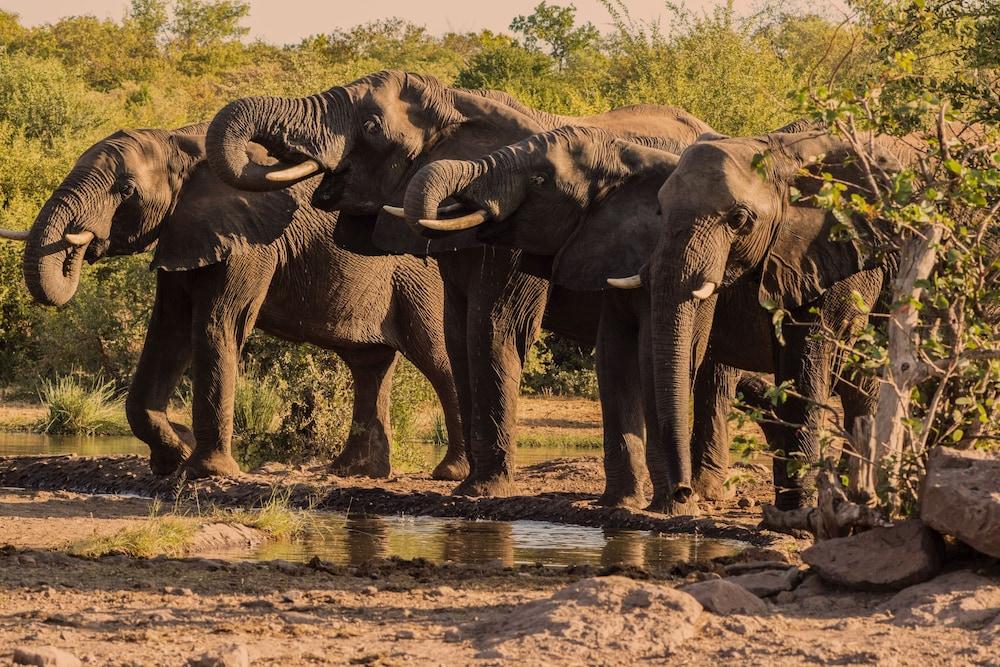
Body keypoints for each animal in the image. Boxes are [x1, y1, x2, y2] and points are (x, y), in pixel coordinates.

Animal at [3, 124, 466, 480]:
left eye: (127, 189)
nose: (78, 246)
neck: (180, 144)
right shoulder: (184, 232)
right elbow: (168, 335)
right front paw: (173, 456)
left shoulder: (248, 241)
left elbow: (215, 325)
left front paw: (204, 470)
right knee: (369, 364)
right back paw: (352, 472)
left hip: (422, 282)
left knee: (438, 358)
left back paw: (449, 474)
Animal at [205, 70, 712, 504]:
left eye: (371, 125)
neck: (458, 103)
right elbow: (456, 335)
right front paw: (468, 483)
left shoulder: (513, 233)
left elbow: (491, 329)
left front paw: (481, 490)